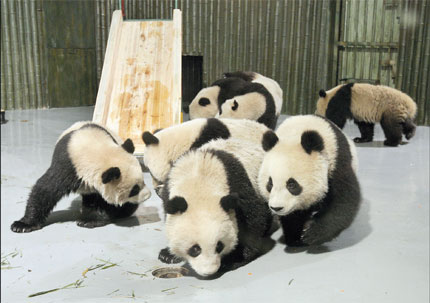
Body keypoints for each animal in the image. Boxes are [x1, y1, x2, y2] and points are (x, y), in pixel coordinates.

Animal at [10, 122, 151, 234]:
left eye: (143, 181)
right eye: (134, 189)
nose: (148, 196)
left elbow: (104, 202)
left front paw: (90, 220)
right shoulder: (66, 165)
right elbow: (45, 190)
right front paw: (22, 225)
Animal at [160, 139, 274, 280]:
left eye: (219, 246)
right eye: (195, 249)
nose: (209, 272)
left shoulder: (238, 185)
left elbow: (253, 218)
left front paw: (235, 258)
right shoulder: (168, 189)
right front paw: (168, 255)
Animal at [258, 115, 360, 248]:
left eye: (292, 184)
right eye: (270, 184)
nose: (277, 208)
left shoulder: (336, 162)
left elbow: (344, 201)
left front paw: (313, 234)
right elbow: (294, 215)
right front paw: (295, 238)